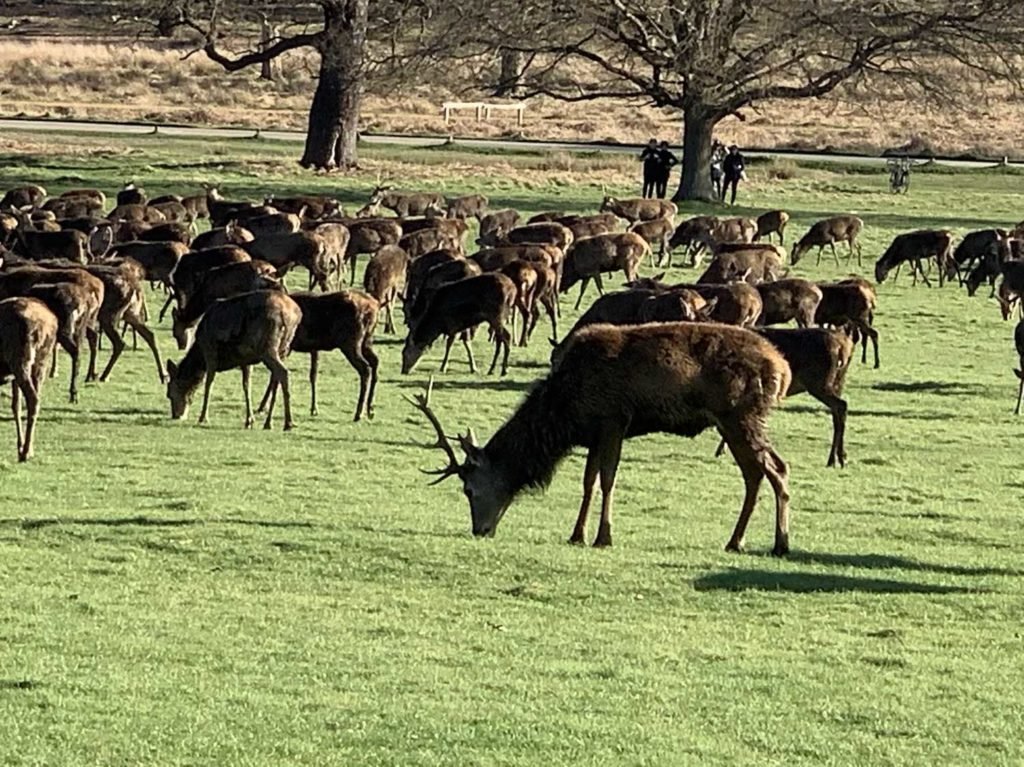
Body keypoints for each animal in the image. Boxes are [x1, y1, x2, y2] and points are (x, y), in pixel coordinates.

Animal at [0, 297, 58, 462]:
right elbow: (16, 406)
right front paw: (18, 446)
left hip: (20, 358)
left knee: (33, 398)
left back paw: (26, 452)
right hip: (40, 361)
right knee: (34, 400)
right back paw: (28, 449)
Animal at [166, 290, 302, 430]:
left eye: (169, 393)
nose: (176, 415)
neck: (200, 356)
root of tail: (293, 315)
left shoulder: (210, 351)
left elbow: (208, 383)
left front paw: (203, 418)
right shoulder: (246, 360)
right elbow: (246, 386)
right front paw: (249, 421)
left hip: (267, 346)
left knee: (283, 372)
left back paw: (288, 423)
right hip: (283, 349)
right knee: (276, 378)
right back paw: (268, 423)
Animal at [410, 320, 793, 554]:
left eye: (468, 489)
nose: (480, 530)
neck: (565, 411)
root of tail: (783, 368)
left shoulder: (613, 419)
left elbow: (607, 478)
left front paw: (603, 536)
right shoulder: (594, 432)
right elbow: (589, 481)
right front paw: (577, 534)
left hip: (739, 414)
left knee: (775, 468)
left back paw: (778, 543)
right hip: (734, 421)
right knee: (759, 472)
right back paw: (738, 541)